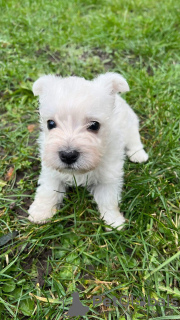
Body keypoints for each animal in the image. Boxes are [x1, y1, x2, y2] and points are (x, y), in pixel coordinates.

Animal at [28, 72, 148, 230]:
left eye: (94, 125)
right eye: (50, 123)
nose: (68, 155)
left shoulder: (108, 177)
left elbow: (109, 200)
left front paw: (113, 222)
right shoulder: (51, 171)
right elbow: (48, 190)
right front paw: (40, 212)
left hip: (130, 124)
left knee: (135, 140)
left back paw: (138, 155)